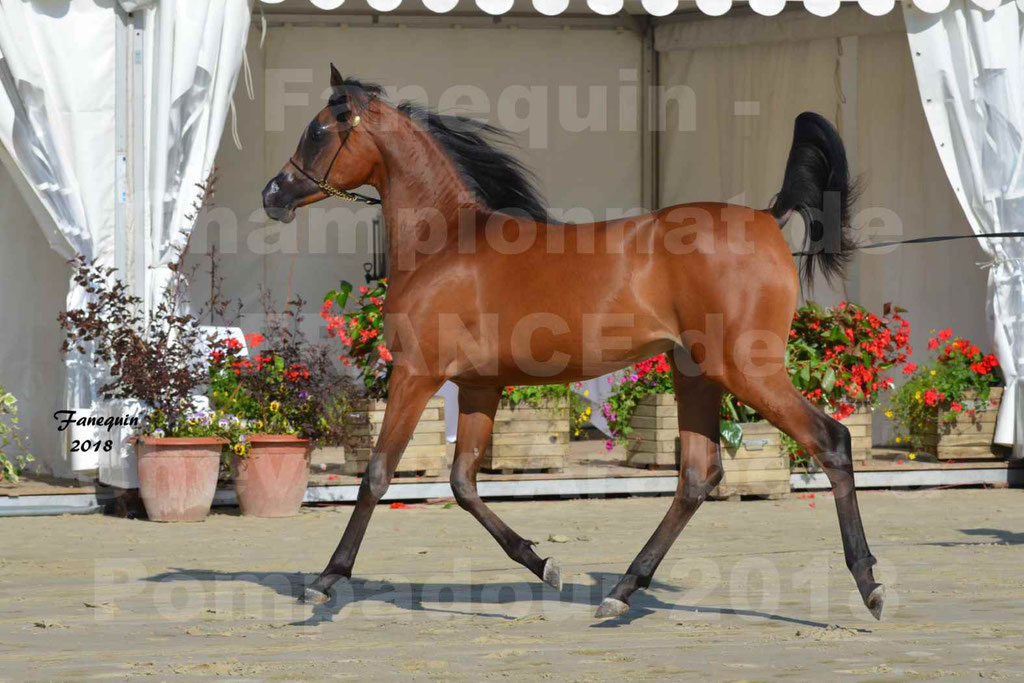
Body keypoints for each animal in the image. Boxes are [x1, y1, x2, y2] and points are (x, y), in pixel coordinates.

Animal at [260, 66, 884, 622]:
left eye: (318, 130)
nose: (272, 194)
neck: (446, 244)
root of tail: (765, 217)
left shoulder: (418, 374)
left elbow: (377, 474)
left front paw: (326, 580)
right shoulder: (479, 386)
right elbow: (463, 483)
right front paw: (544, 565)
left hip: (746, 369)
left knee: (831, 442)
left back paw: (869, 585)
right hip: (694, 372)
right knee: (697, 477)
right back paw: (623, 591)